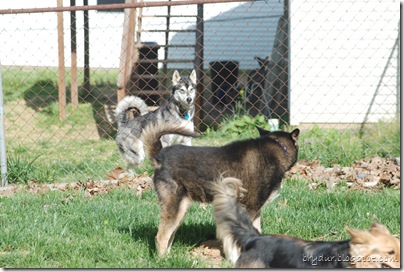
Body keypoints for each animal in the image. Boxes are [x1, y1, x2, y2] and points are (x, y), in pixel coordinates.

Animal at [142, 120, 300, 255]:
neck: (277, 148)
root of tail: (160, 157)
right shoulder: (250, 208)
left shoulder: (255, 210)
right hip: (174, 207)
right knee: (161, 237)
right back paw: (163, 259)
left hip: (181, 208)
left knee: (169, 235)